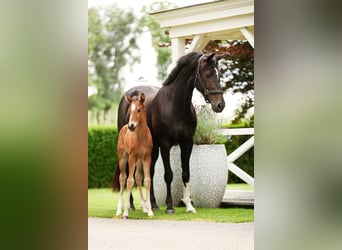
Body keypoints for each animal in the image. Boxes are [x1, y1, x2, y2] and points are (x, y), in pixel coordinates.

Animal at [113, 52, 226, 213]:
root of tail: (128, 95)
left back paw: (153, 205)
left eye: (219, 74)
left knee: (150, 172)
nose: (220, 105)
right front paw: (170, 206)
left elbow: (185, 174)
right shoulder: (165, 145)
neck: (175, 105)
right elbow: (168, 175)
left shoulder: (187, 143)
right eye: (208, 74)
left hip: (152, 149)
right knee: (129, 172)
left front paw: (189, 206)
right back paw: (132, 205)